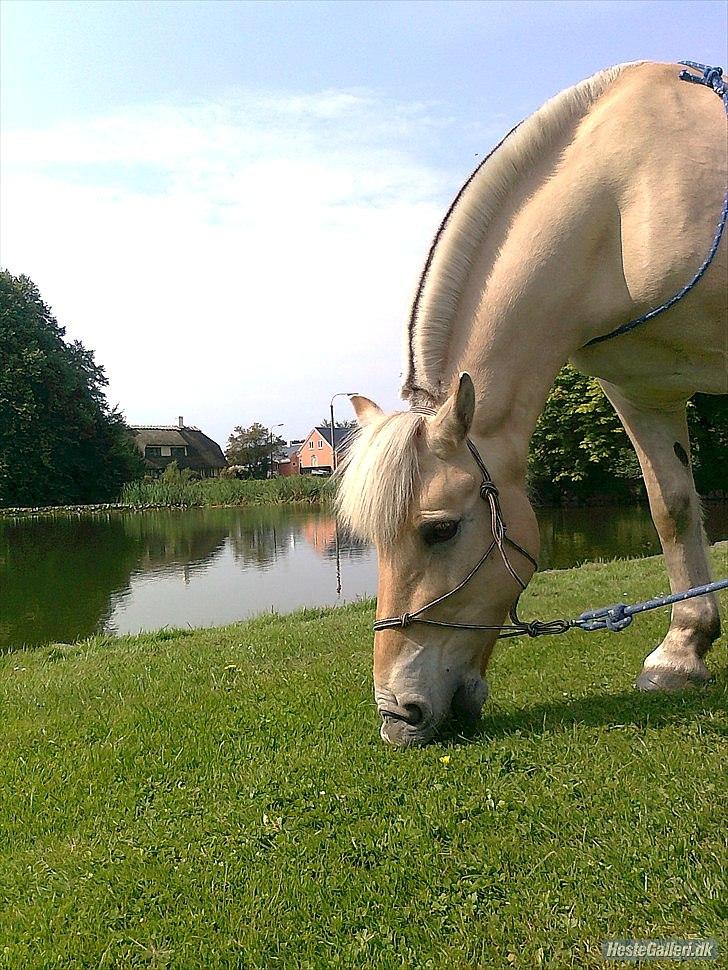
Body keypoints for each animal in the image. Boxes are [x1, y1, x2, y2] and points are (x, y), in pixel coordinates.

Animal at [336, 61, 727, 747]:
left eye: (440, 529)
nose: (398, 716)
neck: (631, 192)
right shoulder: (640, 389)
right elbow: (672, 509)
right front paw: (681, 654)